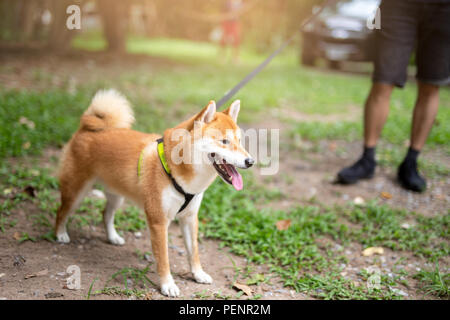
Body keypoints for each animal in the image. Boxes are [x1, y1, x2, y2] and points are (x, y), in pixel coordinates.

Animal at [53, 89, 253, 298]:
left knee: (106, 214)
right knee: (61, 211)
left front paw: (198, 274)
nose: (250, 161)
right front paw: (168, 285)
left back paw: (113, 237)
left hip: (116, 196)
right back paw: (60, 235)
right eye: (224, 141)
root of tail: (87, 127)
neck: (180, 171)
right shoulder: (158, 221)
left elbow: (194, 252)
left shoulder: (190, 218)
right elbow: (164, 259)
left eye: (239, 141)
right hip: (76, 192)